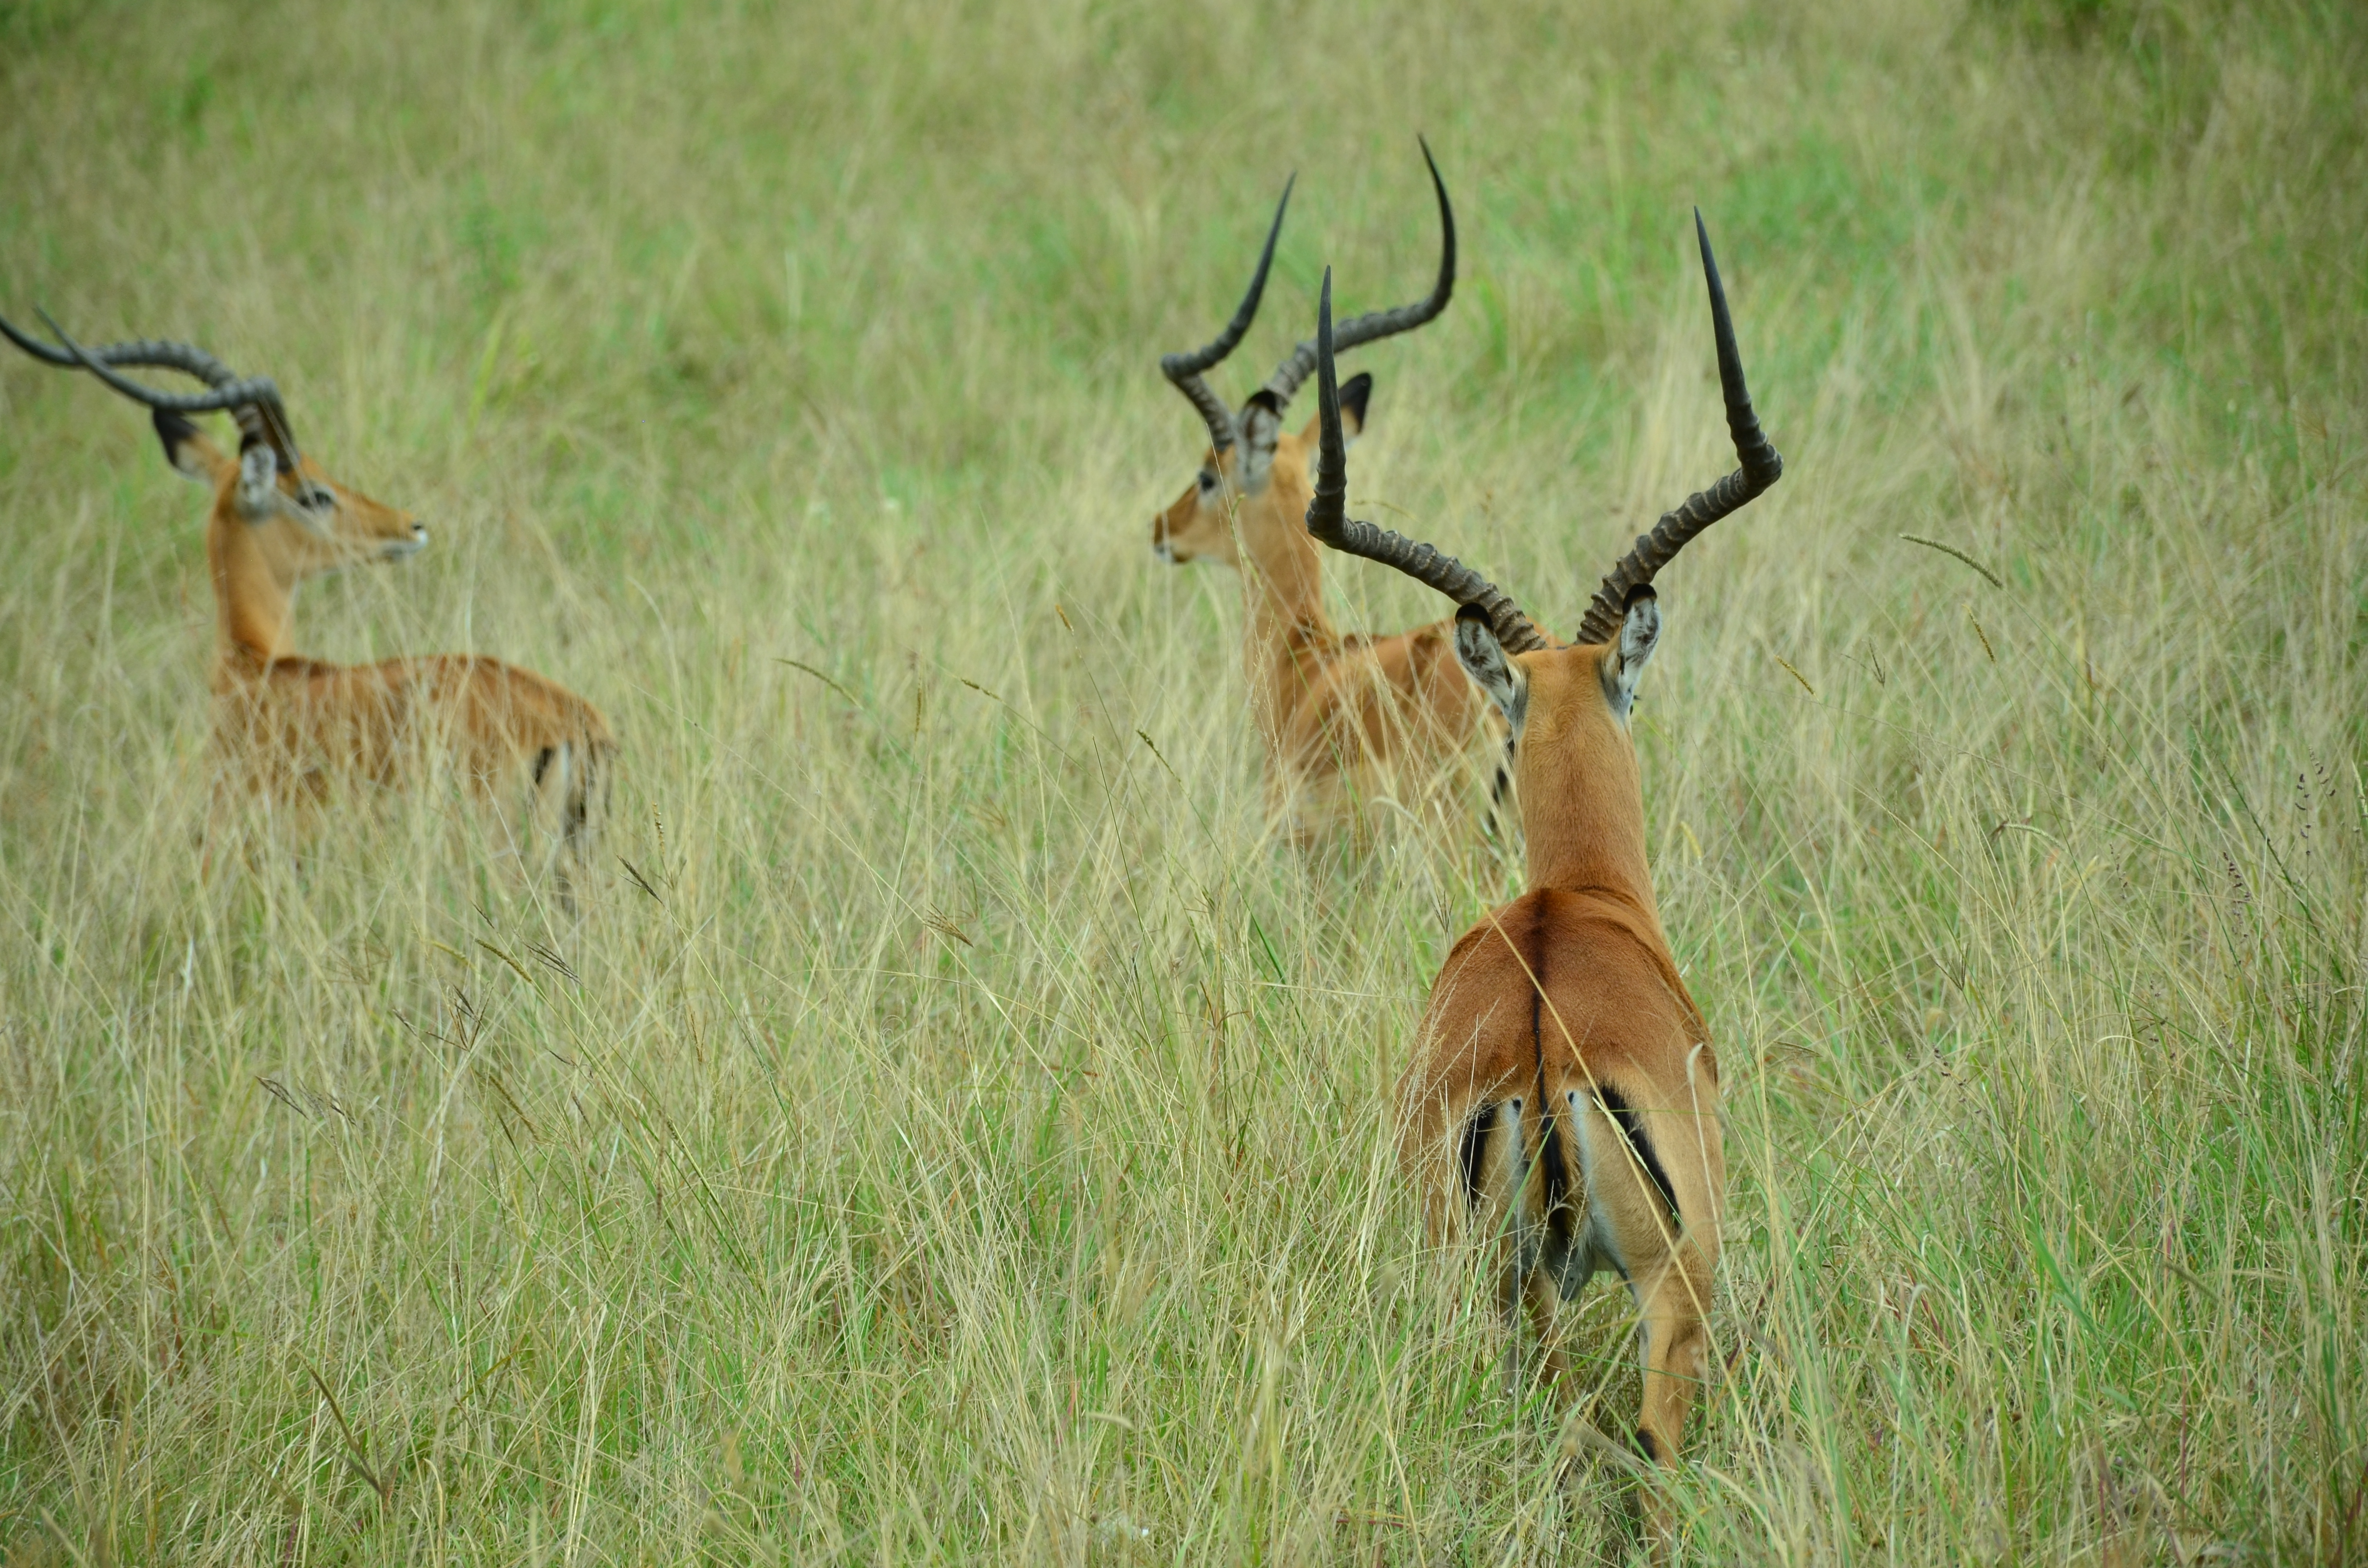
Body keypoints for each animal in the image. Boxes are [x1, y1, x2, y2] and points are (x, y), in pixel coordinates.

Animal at [1303, 216, 1781, 1556]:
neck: (1579, 896)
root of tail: (1540, 1048)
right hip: (1667, 1289)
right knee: (1649, 1456)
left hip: (1501, 1294)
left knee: (1559, 1437)